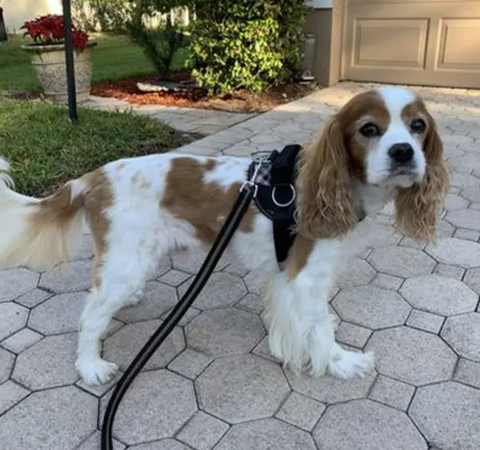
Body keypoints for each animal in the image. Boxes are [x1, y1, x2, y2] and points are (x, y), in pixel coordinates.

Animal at [0, 86, 450, 384]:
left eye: (417, 126)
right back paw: (90, 365)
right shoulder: (307, 275)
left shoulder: (285, 276)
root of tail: (92, 177)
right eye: (369, 129)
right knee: (91, 313)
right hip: (127, 262)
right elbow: (320, 327)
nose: (403, 152)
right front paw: (340, 363)